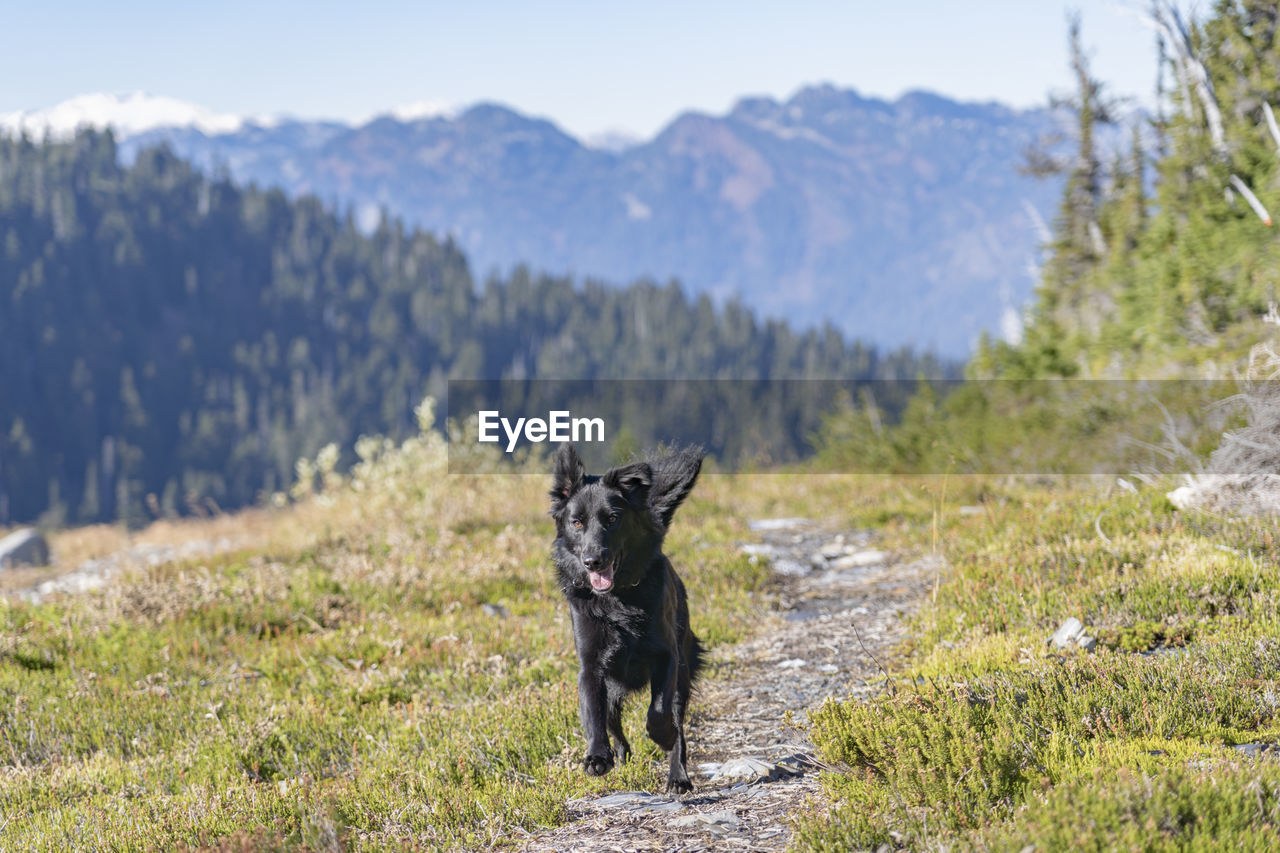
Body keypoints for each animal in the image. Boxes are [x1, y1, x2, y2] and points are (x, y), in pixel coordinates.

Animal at [550, 440, 711, 794]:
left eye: (612, 519)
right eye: (577, 523)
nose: (593, 560)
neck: (618, 599)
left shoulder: (667, 656)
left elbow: (660, 711)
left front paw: (662, 736)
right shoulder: (591, 667)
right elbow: (593, 715)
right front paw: (598, 757)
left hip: (683, 670)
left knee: (677, 723)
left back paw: (678, 776)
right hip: (613, 688)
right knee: (612, 720)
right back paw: (620, 755)